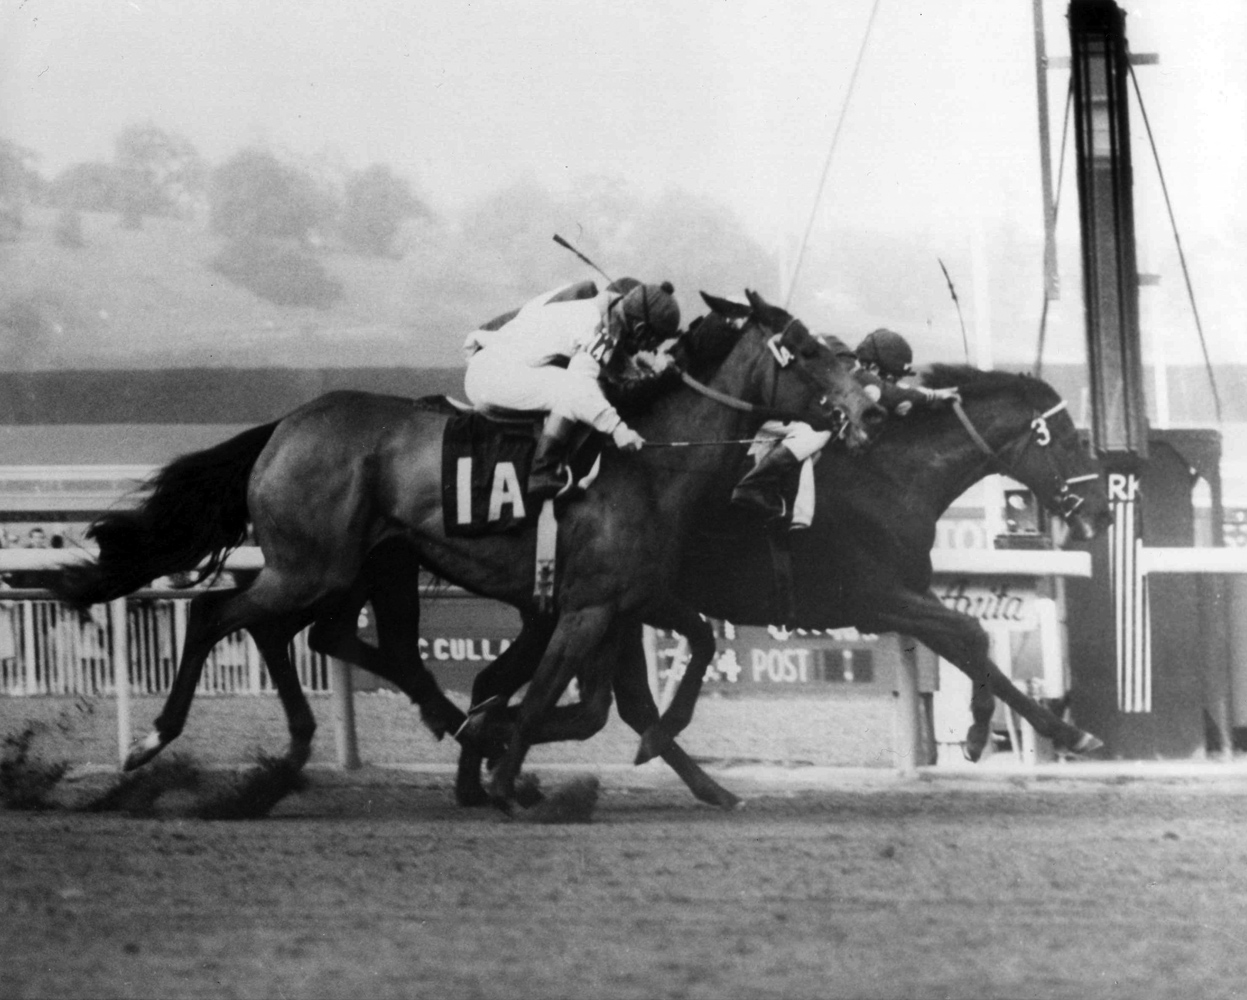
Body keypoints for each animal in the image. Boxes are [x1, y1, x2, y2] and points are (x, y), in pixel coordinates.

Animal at [53, 288, 882, 807]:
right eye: (807, 350)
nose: (870, 407)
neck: (655, 459)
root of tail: (285, 425)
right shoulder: (588, 607)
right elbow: (551, 692)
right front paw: (508, 771)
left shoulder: (632, 597)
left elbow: (692, 650)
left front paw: (691, 771)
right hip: (311, 565)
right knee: (218, 617)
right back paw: (152, 743)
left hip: (353, 567)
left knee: (302, 634)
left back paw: (323, 745)